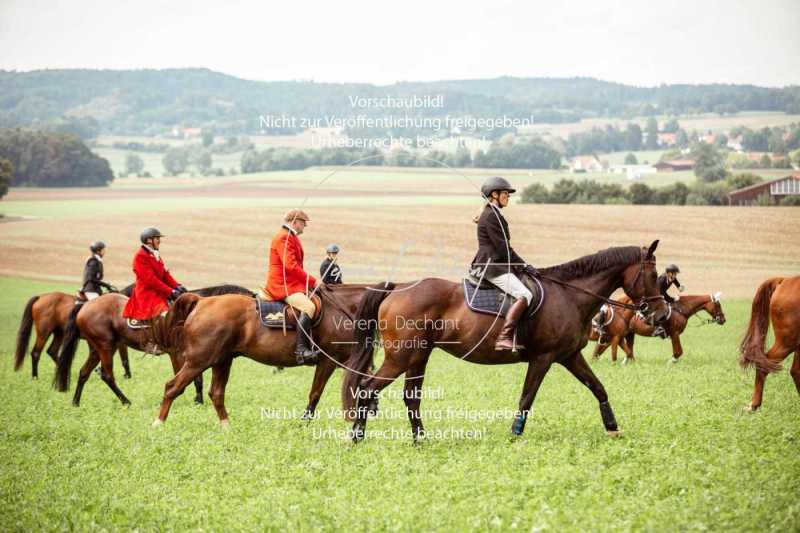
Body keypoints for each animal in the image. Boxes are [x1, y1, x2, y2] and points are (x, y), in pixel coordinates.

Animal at [52, 284, 253, 406]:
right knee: (106, 375)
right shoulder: (179, 353)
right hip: (106, 346)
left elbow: (196, 378)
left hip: (97, 348)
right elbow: (191, 378)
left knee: (83, 373)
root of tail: (86, 305)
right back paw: (126, 401)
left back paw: (76, 402)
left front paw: (198, 400)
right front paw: (196, 400)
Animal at [147, 282, 372, 428]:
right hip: (199, 361)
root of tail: (202, 301)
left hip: (222, 361)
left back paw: (227, 427)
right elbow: (316, 393)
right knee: (173, 387)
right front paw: (305, 424)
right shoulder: (329, 361)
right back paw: (158, 424)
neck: (343, 309)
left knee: (216, 393)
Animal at [340, 241, 664, 440]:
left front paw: (612, 427)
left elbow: (597, 387)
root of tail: (398, 288)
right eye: (653, 275)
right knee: (368, 388)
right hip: (401, 357)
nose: (660, 314)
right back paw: (356, 437)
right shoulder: (544, 358)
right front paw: (515, 432)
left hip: (419, 356)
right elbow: (527, 397)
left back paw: (421, 438)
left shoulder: (569, 355)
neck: (569, 295)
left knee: (411, 396)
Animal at [592, 294, 728, 364]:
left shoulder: (674, 334)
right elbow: (678, 351)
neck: (680, 309)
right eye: (718, 304)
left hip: (627, 333)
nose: (723, 319)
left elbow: (677, 351)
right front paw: (671, 362)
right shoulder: (675, 333)